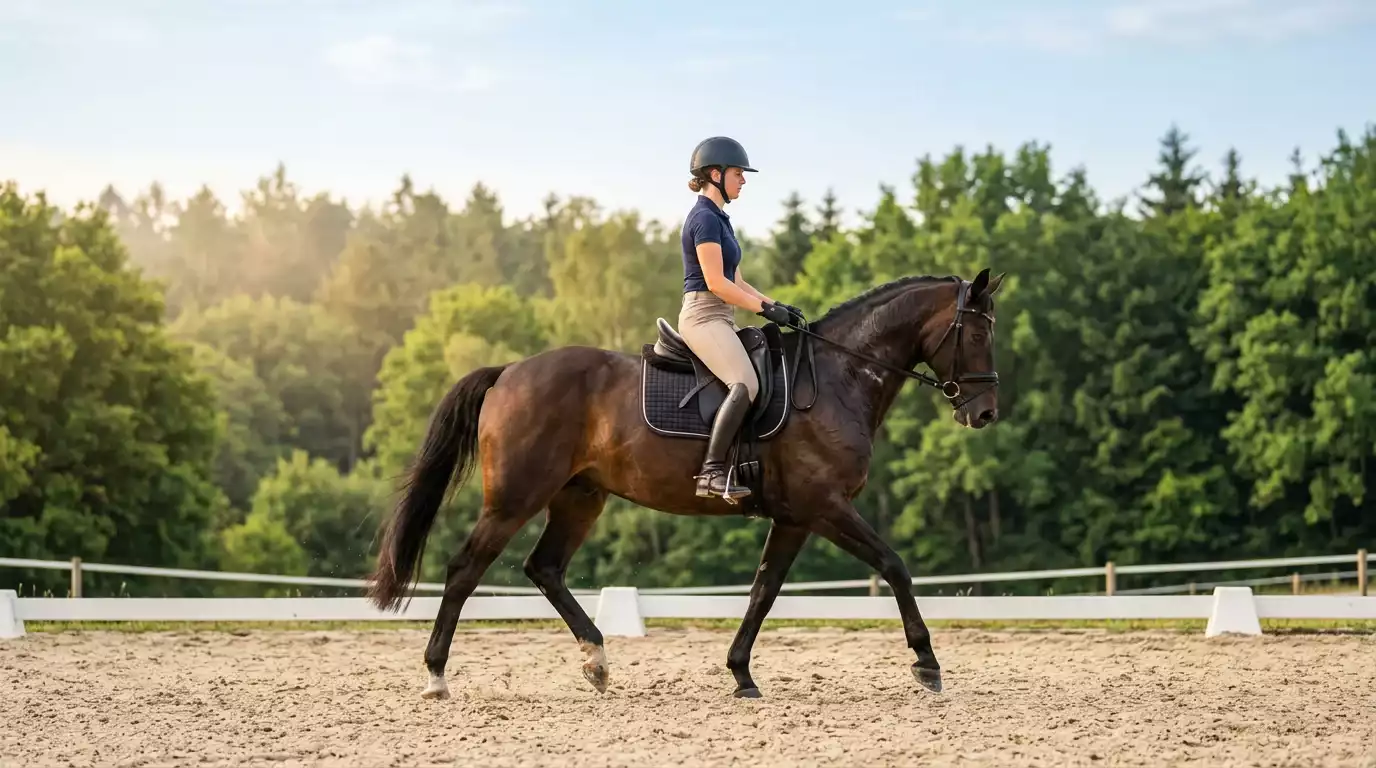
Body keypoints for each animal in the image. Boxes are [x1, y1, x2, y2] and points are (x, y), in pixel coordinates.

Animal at [366, 268, 1005, 700]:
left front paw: (741, 673)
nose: (985, 414)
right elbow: (895, 566)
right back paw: (436, 676)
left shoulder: (795, 517)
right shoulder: (826, 506)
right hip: (515, 498)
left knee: (543, 568)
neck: (836, 376)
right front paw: (927, 664)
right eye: (976, 336)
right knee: (464, 570)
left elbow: (763, 590)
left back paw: (597, 661)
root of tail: (509, 373)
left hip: (581, 497)